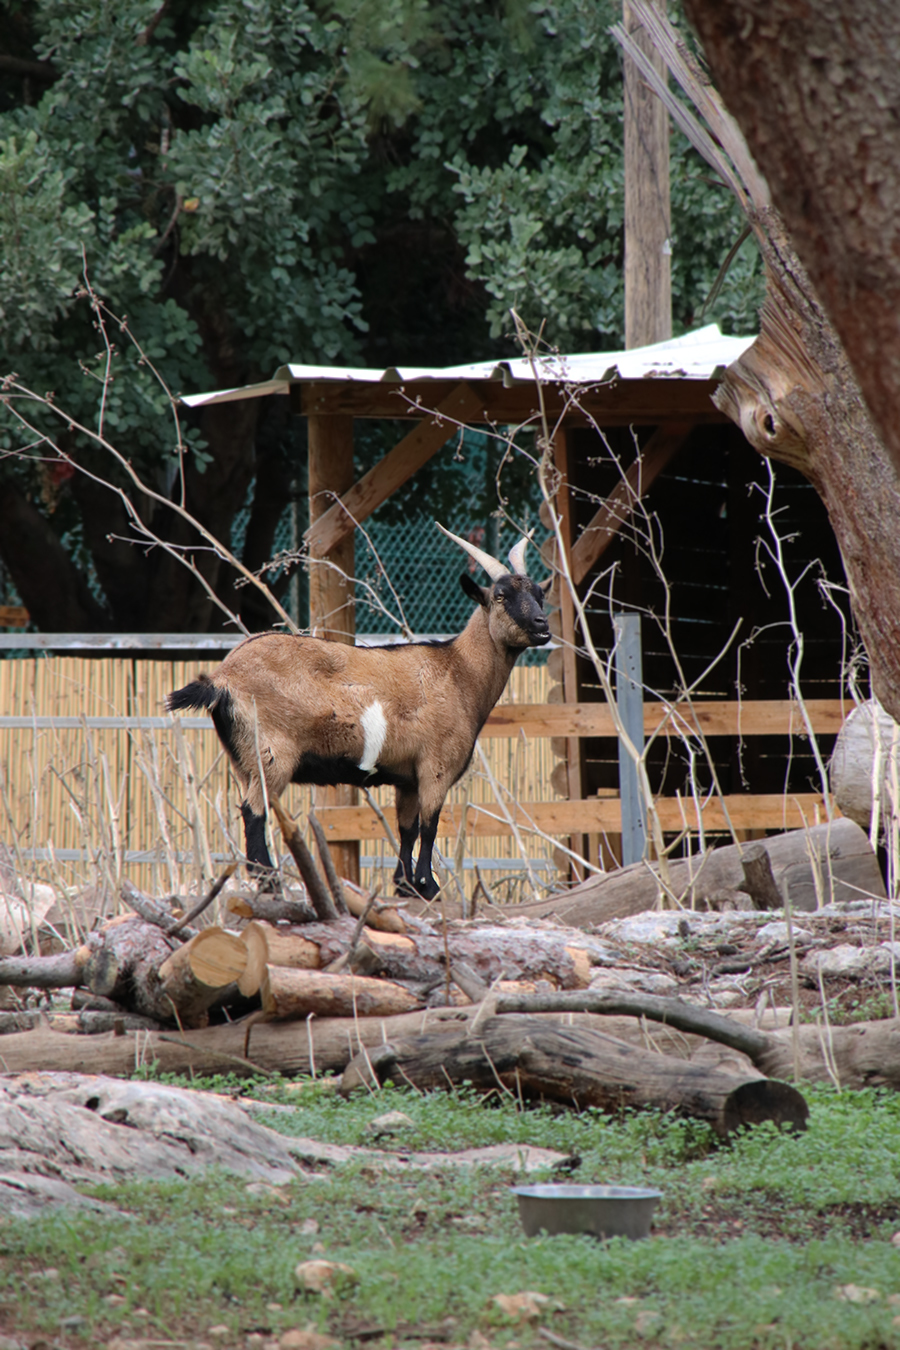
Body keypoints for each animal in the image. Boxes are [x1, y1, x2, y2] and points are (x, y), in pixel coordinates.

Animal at [165, 523, 553, 896]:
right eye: (500, 596)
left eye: (539, 594)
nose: (542, 626)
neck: (459, 670)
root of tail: (221, 678)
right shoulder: (436, 767)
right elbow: (430, 826)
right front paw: (428, 886)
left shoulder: (407, 778)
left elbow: (407, 829)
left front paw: (405, 885)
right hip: (271, 754)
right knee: (254, 813)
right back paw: (270, 883)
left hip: (242, 759)